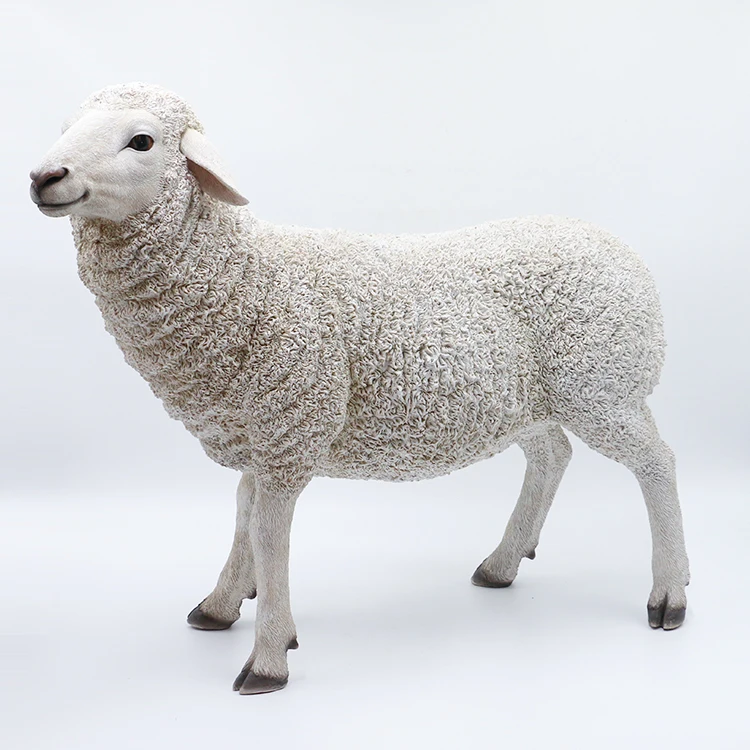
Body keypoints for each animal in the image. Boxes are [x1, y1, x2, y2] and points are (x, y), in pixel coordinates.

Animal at [29, 82, 690, 695]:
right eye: (66, 128)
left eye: (142, 141)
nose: (43, 177)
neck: (245, 277)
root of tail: (617, 247)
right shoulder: (260, 434)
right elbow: (242, 518)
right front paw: (221, 604)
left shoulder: (290, 431)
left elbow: (269, 537)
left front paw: (267, 656)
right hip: (529, 402)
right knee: (552, 455)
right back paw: (502, 564)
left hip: (602, 384)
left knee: (657, 463)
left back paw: (669, 592)